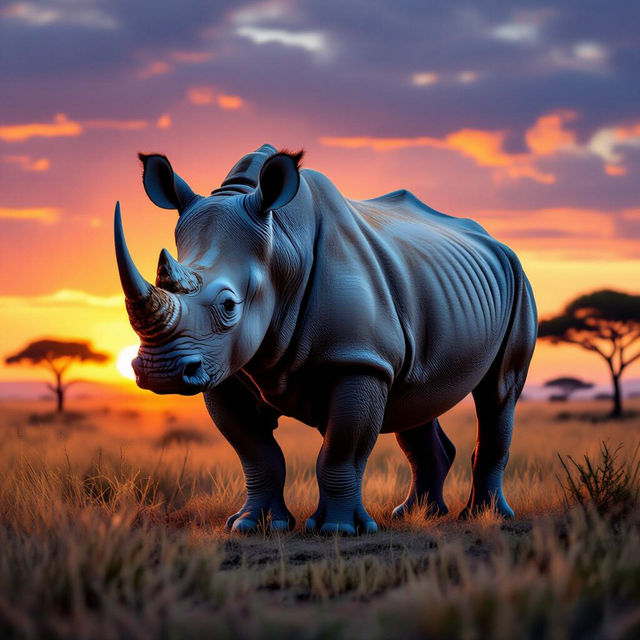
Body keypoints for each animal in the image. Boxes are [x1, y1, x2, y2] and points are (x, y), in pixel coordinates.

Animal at [114, 143, 537, 535]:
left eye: (229, 305)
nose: (160, 372)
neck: (281, 250)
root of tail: (494, 240)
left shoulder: (358, 360)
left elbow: (341, 449)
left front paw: (338, 530)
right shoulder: (225, 368)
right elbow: (256, 451)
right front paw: (254, 525)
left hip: (518, 280)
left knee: (498, 391)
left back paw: (485, 516)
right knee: (416, 397)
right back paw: (417, 515)